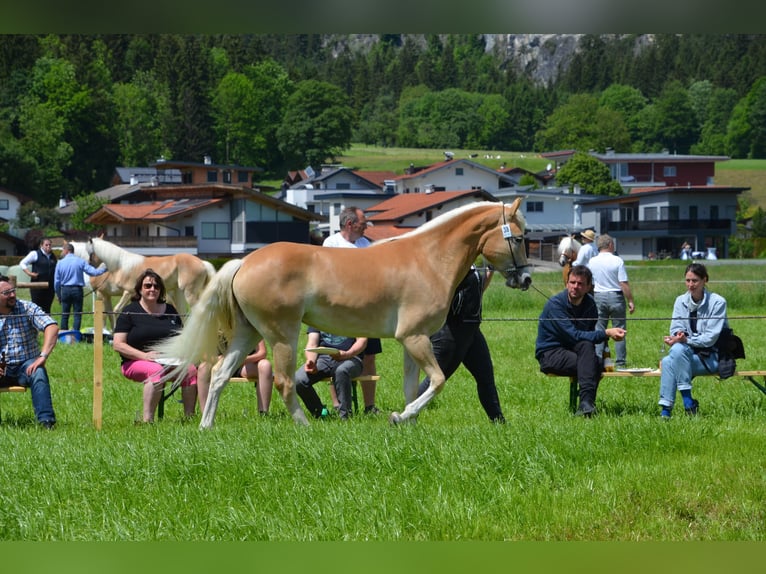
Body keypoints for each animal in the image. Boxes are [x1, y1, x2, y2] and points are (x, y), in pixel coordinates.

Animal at [157, 198, 536, 428]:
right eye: (518, 238)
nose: (527, 278)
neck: (428, 258)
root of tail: (245, 261)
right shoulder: (414, 338)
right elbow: (438, 380)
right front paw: (401, 418)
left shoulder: (412, 342)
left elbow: (413, 385)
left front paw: (407, 421)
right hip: (282, 334)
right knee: (282, 381)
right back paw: (304, 426)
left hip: (248, 332)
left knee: (220, 374)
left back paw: (206, 425)